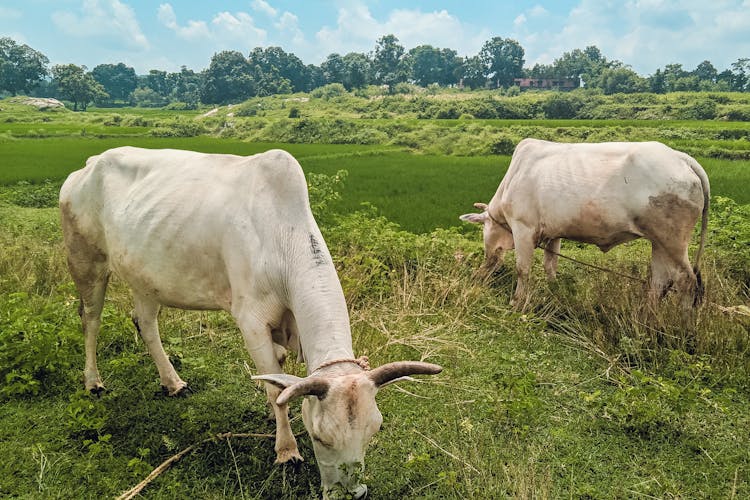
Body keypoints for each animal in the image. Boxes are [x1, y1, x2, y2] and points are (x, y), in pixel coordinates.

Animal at [63, 146, 446, 498]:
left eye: (374, 430)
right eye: (320, 436)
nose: (352, 494)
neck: (281, 240)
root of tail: (87, 166)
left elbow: (279, 375)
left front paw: (273, 414)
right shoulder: (251, 322)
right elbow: (276, 388)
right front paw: (287, 449)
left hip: (144, 276)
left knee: (145, 322)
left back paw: (173, 382)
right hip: (86, 261)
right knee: (91, 319)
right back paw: (93, 381)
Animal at [462, 138, 712, 308]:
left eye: (484, 231)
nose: (480, 273)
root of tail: (681, 158)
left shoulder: (523, 228)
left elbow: (523, 269)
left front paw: (517, 302)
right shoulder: (553, 234)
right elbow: (550, 266)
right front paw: (554, 292)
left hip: (673, 241)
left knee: (686, 281)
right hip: (659, 243)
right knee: (660, 282)